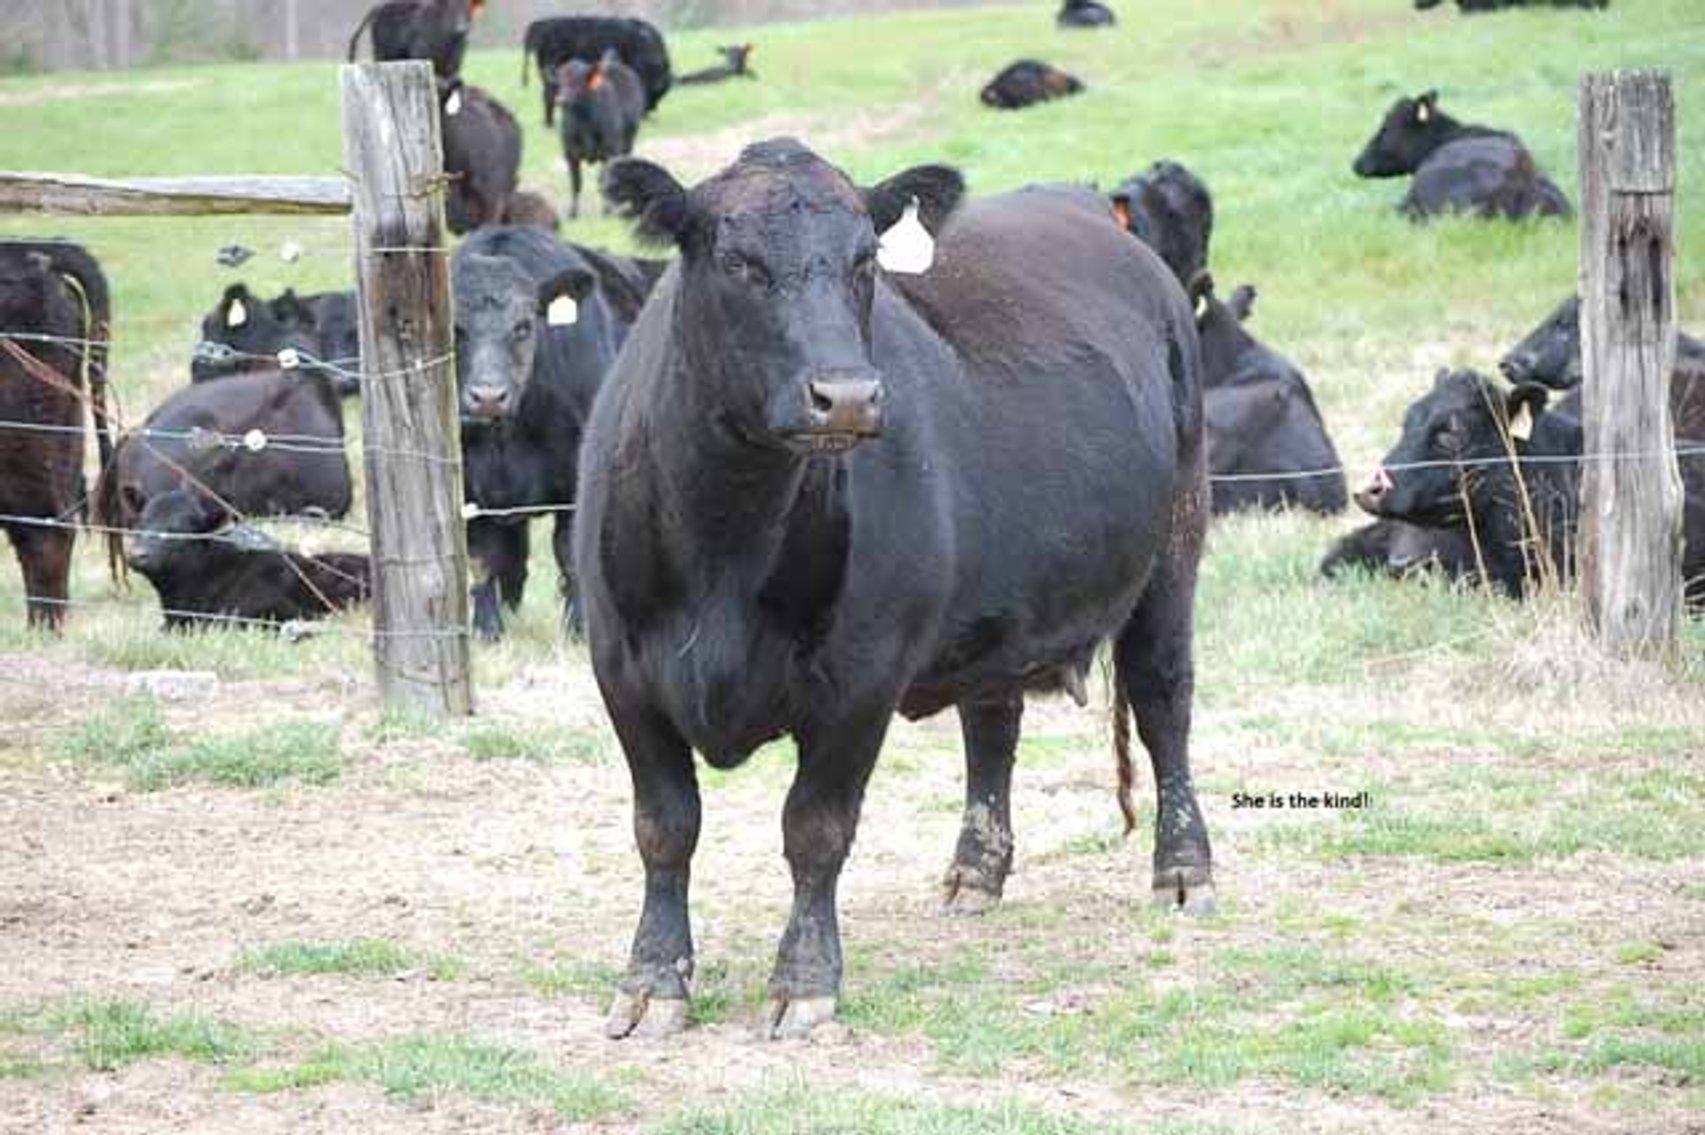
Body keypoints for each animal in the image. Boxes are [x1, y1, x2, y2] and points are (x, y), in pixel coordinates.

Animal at [346, 0, 480, 79]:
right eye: (450, 9)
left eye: (468, 10)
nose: (461, 29)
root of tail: (379, 7)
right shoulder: (421, 55)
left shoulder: (454, 67)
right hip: (382, 54)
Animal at [452, 227, 643, 641]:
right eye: (455, 329)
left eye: (524, 326)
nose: (487, 397)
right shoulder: (467, 486)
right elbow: (482, 559)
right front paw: (487, 630)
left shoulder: (576, 486)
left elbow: (570, 556)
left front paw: (580, 630)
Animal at [556, 52, 646, 220]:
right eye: (560, 82)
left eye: (579, 81)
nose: (561, 100)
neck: (584, 122)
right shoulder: (570, 154)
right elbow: (576, 183)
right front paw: (572, 213)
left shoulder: (609, 152)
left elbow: (604, 181)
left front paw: (606, 211)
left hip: (628, 143)